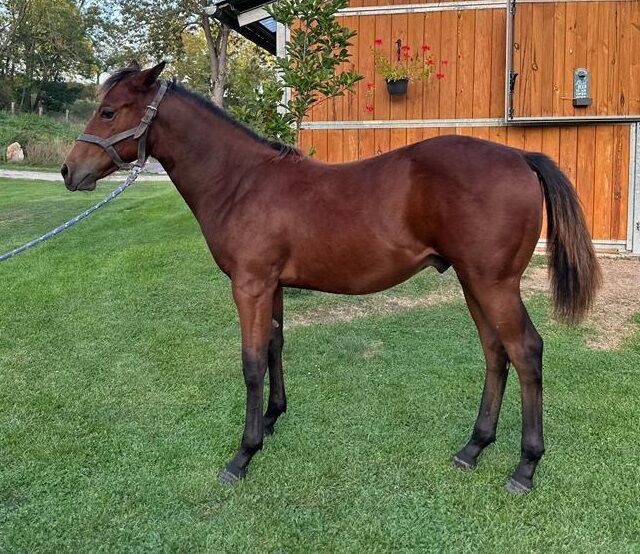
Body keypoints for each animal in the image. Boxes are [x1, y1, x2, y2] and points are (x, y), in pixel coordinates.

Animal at [61, 61, 600, 492]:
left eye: (108, 112)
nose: (69, 171)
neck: (242, 182)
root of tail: (520, 158)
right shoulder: (272, 286)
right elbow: (274, 346)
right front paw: (273, 420)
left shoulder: (250, 285)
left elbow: (251, 362)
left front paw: (243, 454)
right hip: (474, 283)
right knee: (495, 352)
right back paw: (473, 448)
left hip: (494, 284)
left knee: (525, 351)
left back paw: (524, 467)